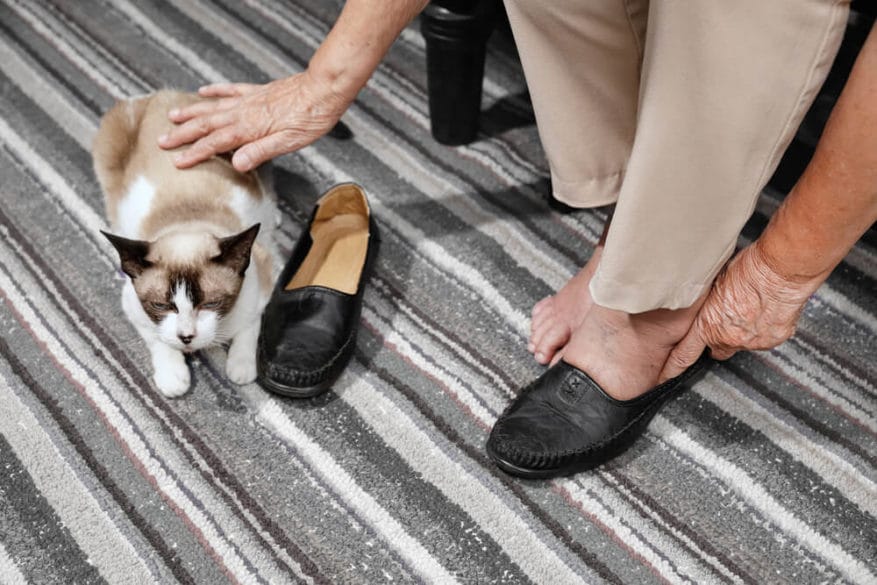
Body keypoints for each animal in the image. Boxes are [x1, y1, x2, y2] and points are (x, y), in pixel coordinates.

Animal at [93, 89, 278, 394]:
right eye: (161, 306)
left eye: (212, 304)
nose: (186, 337)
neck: (188, 219)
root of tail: (166, 94)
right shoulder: (133, 307)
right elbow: (158, 339)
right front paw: (174, 379)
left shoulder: (265, 278)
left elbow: (250, 325)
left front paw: (241, 368)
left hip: (250, 152)